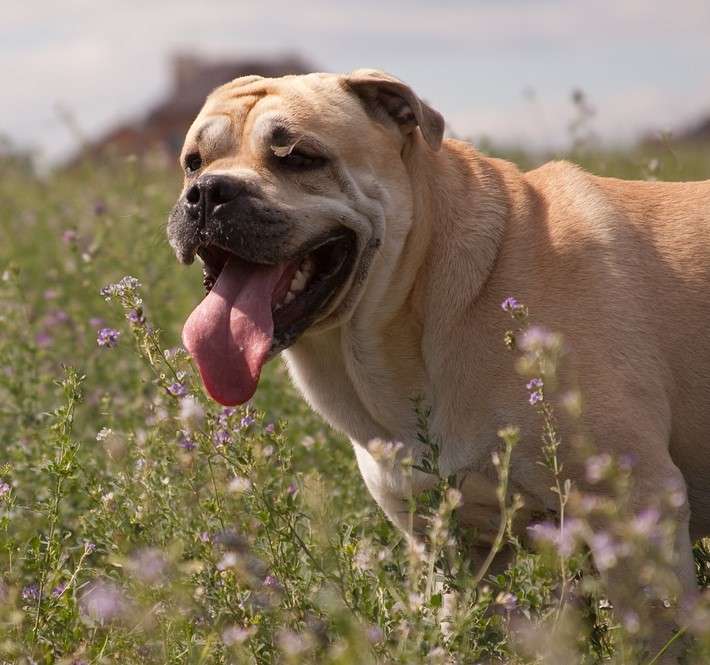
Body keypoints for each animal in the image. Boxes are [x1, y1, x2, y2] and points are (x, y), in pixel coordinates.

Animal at [168, 70, 710, 656]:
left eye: (299, 156)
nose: (207, 193)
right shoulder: (453, 543)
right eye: (193, 162)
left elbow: (656, 638)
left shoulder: (636, 508)